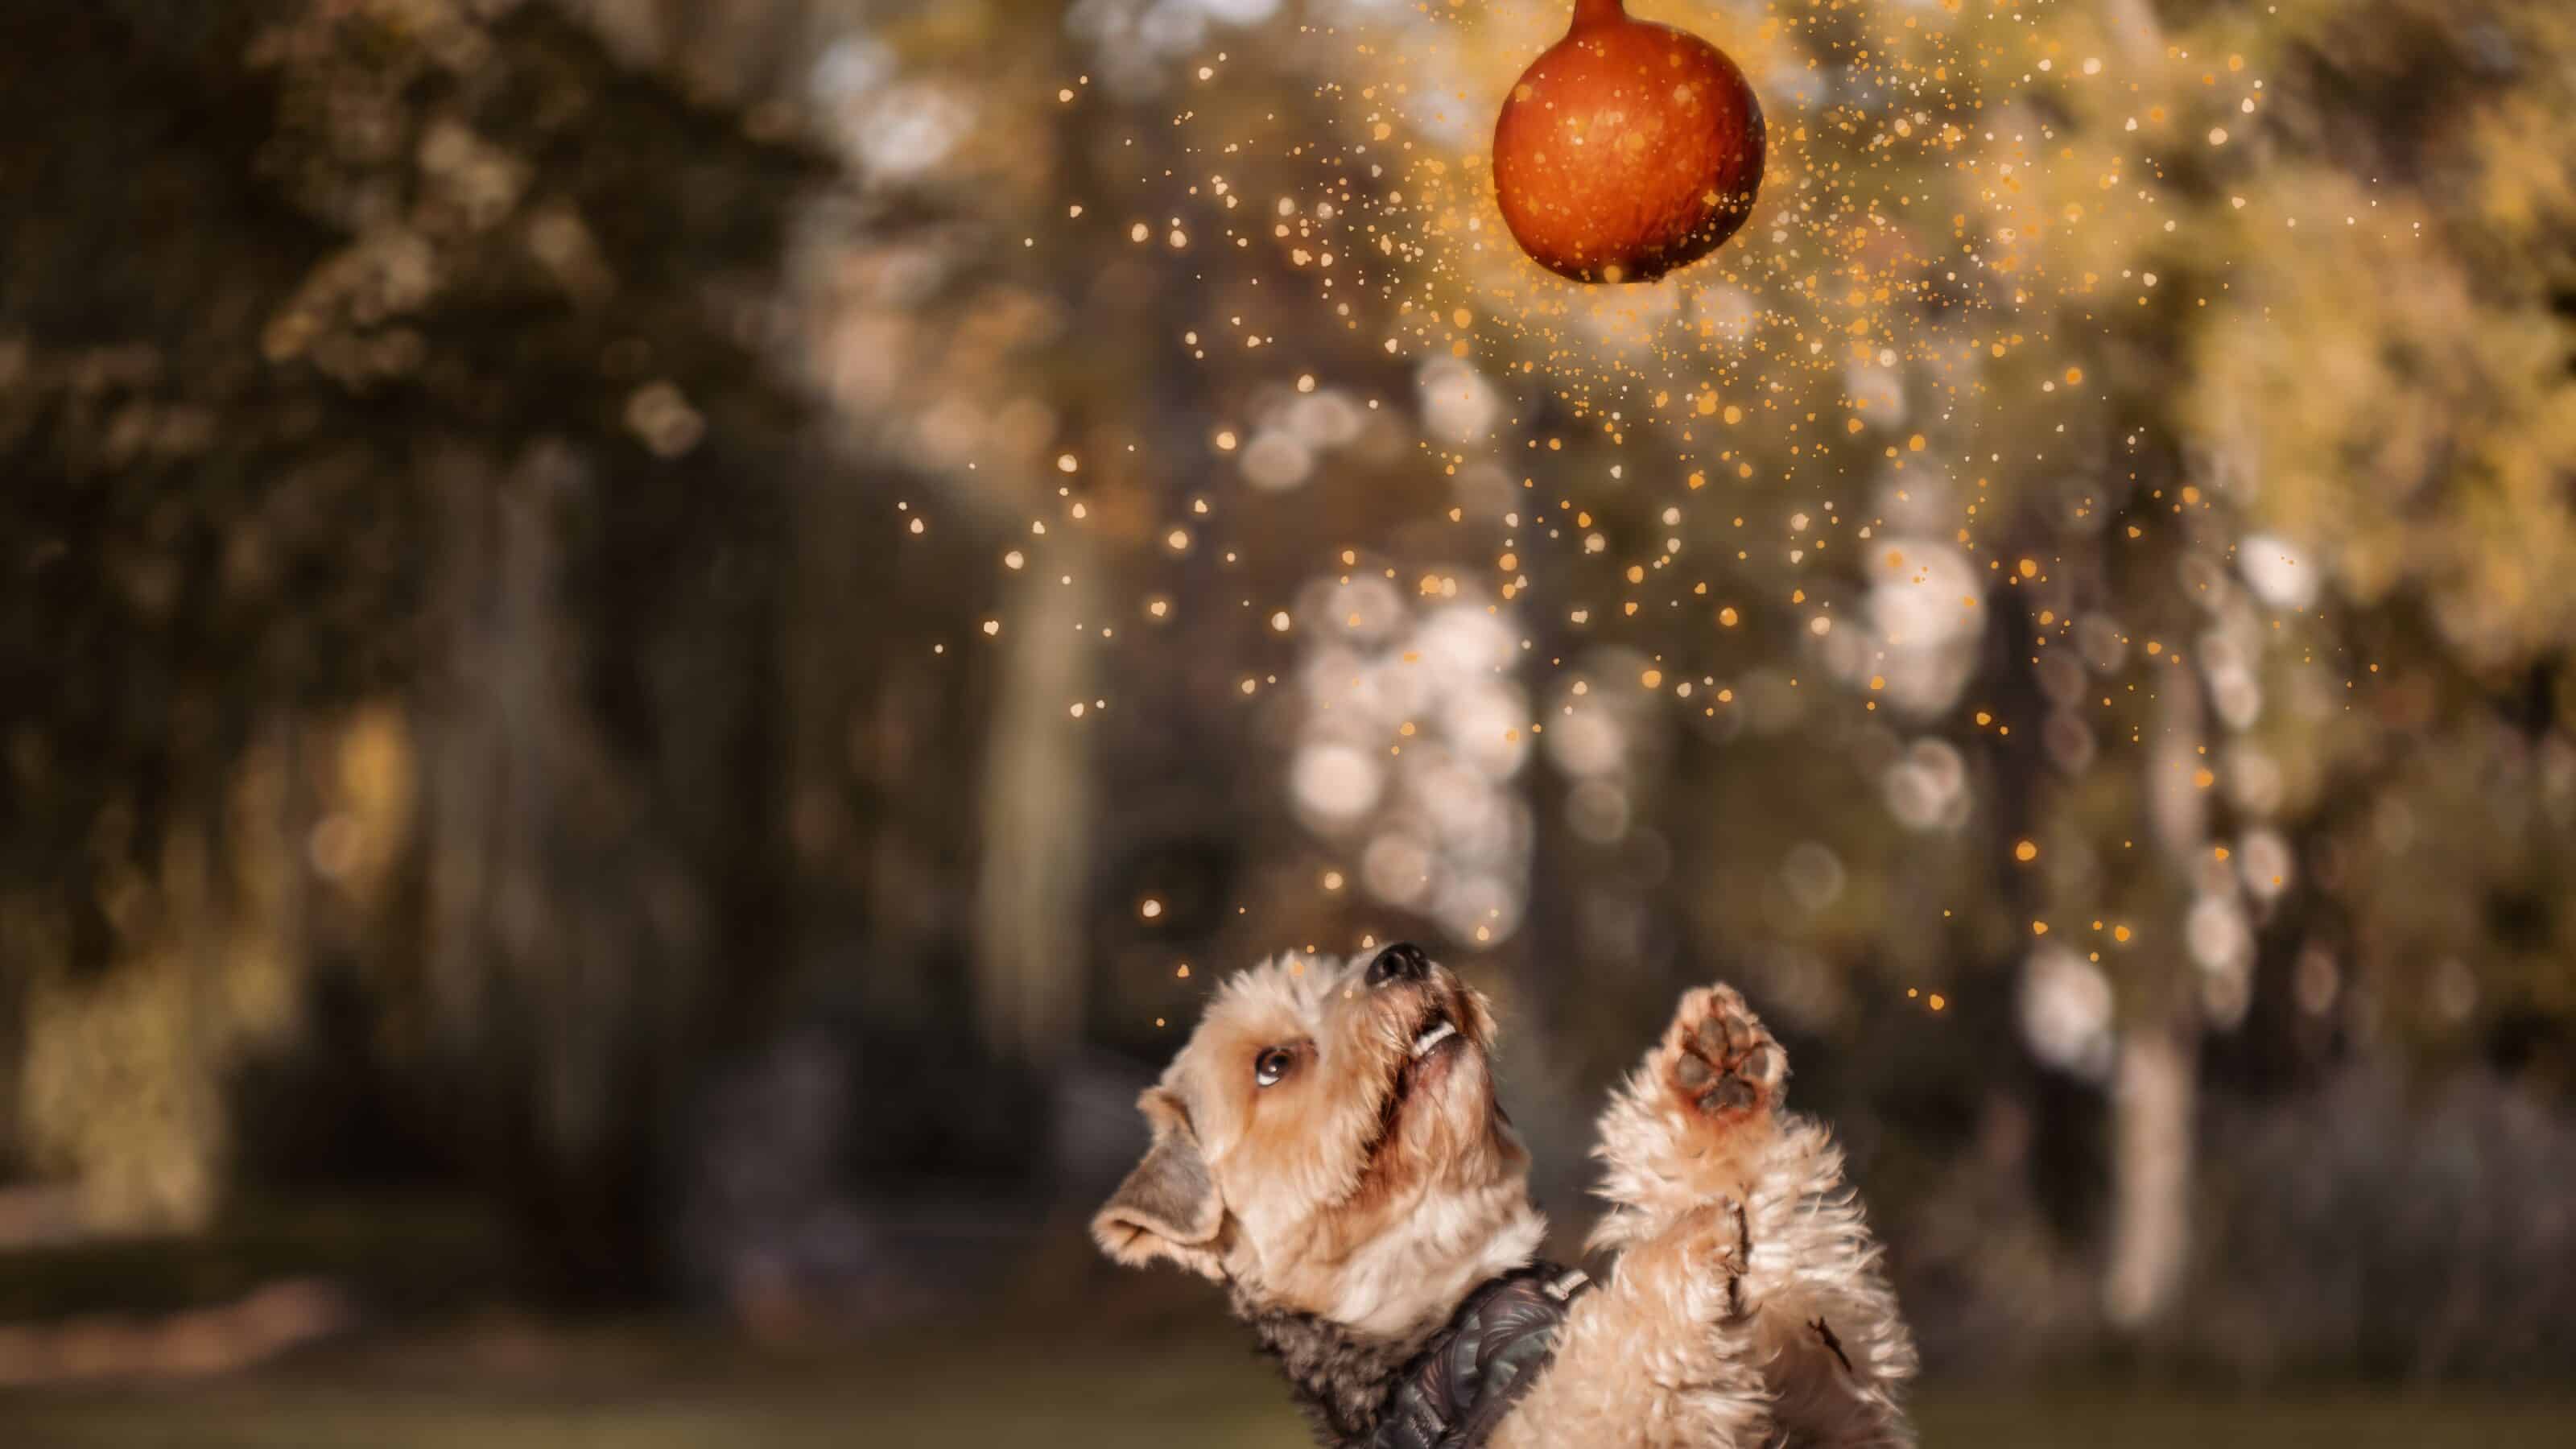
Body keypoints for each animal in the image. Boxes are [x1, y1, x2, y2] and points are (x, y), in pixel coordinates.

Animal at [1087, 943, 1916, 1433]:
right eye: (1273, 1064)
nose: (1401, 955)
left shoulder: (1827, 1402)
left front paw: (1714, 1082)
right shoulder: (1559, 1421)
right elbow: (1601, 1360)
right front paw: (1683, 1239)